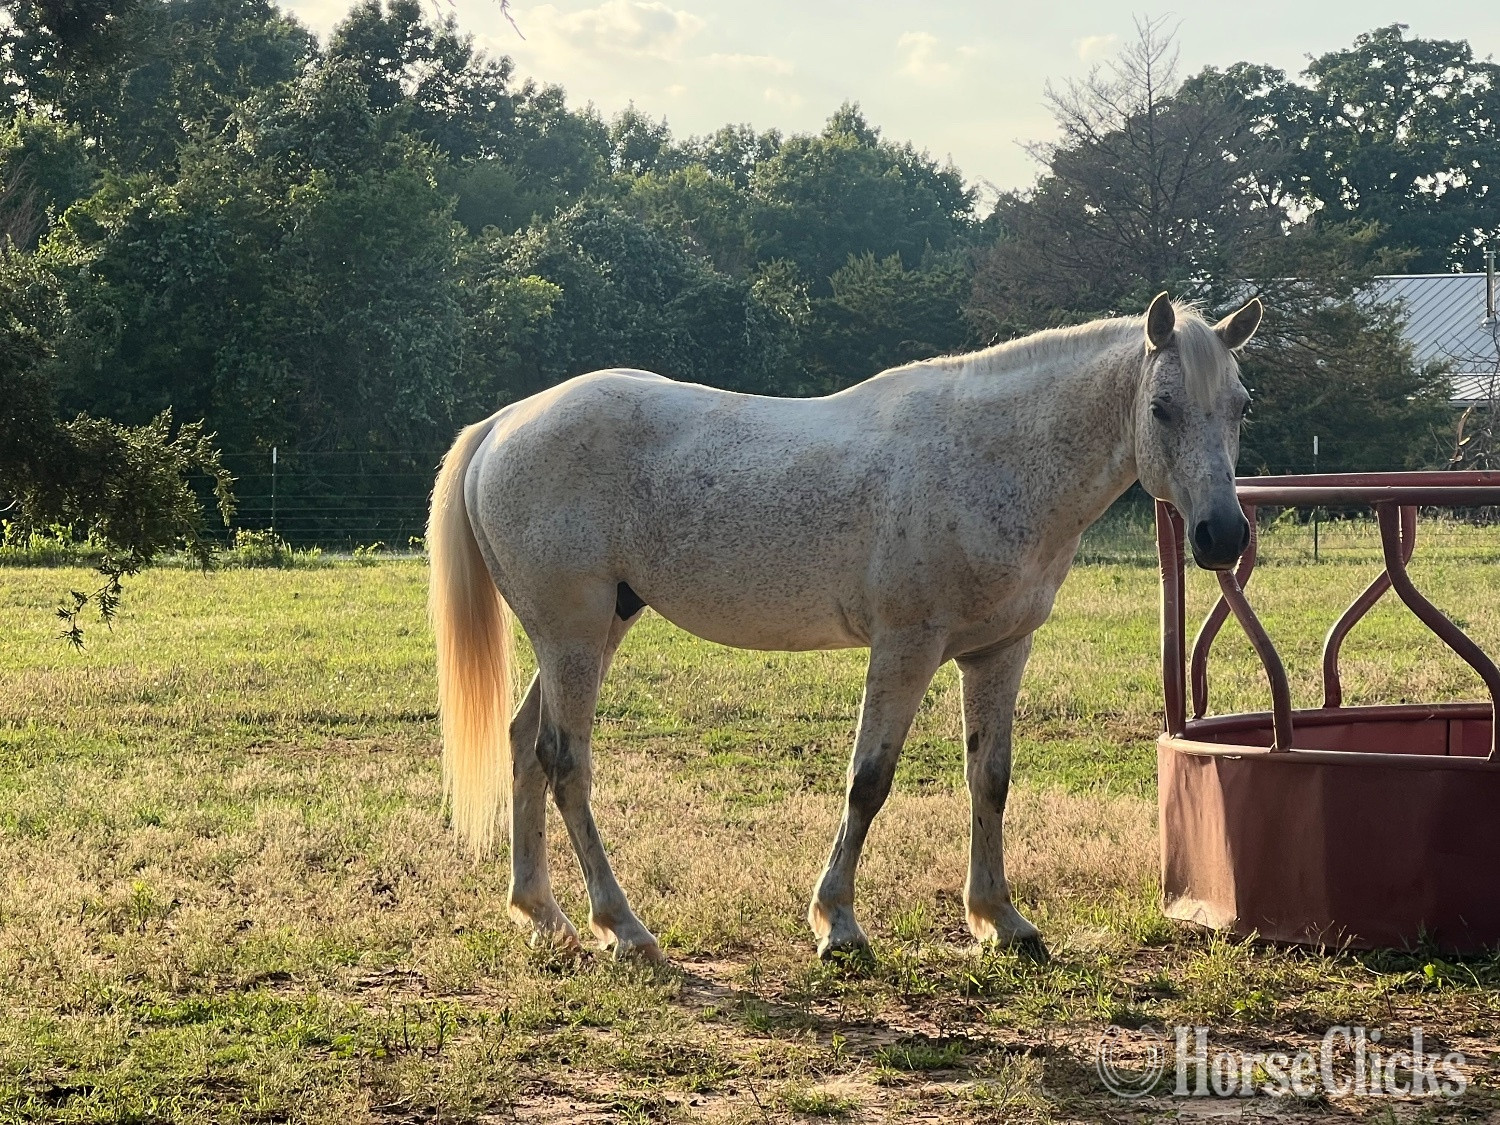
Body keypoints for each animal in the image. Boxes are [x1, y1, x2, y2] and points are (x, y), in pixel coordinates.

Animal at [428, 291, 1261, 963]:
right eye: (1162, 406)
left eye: (1241, 405)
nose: (1222, 535)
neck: (991, 456)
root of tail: (505, 423)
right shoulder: (905, 647)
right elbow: (869, 779)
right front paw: (839, 924)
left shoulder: (998, 652)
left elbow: (989, 778)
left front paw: (1000, 920)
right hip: (572, 633)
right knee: (565, 761)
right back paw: (622, 927)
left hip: (594, 630)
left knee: (524, 746)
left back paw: (544, 914)